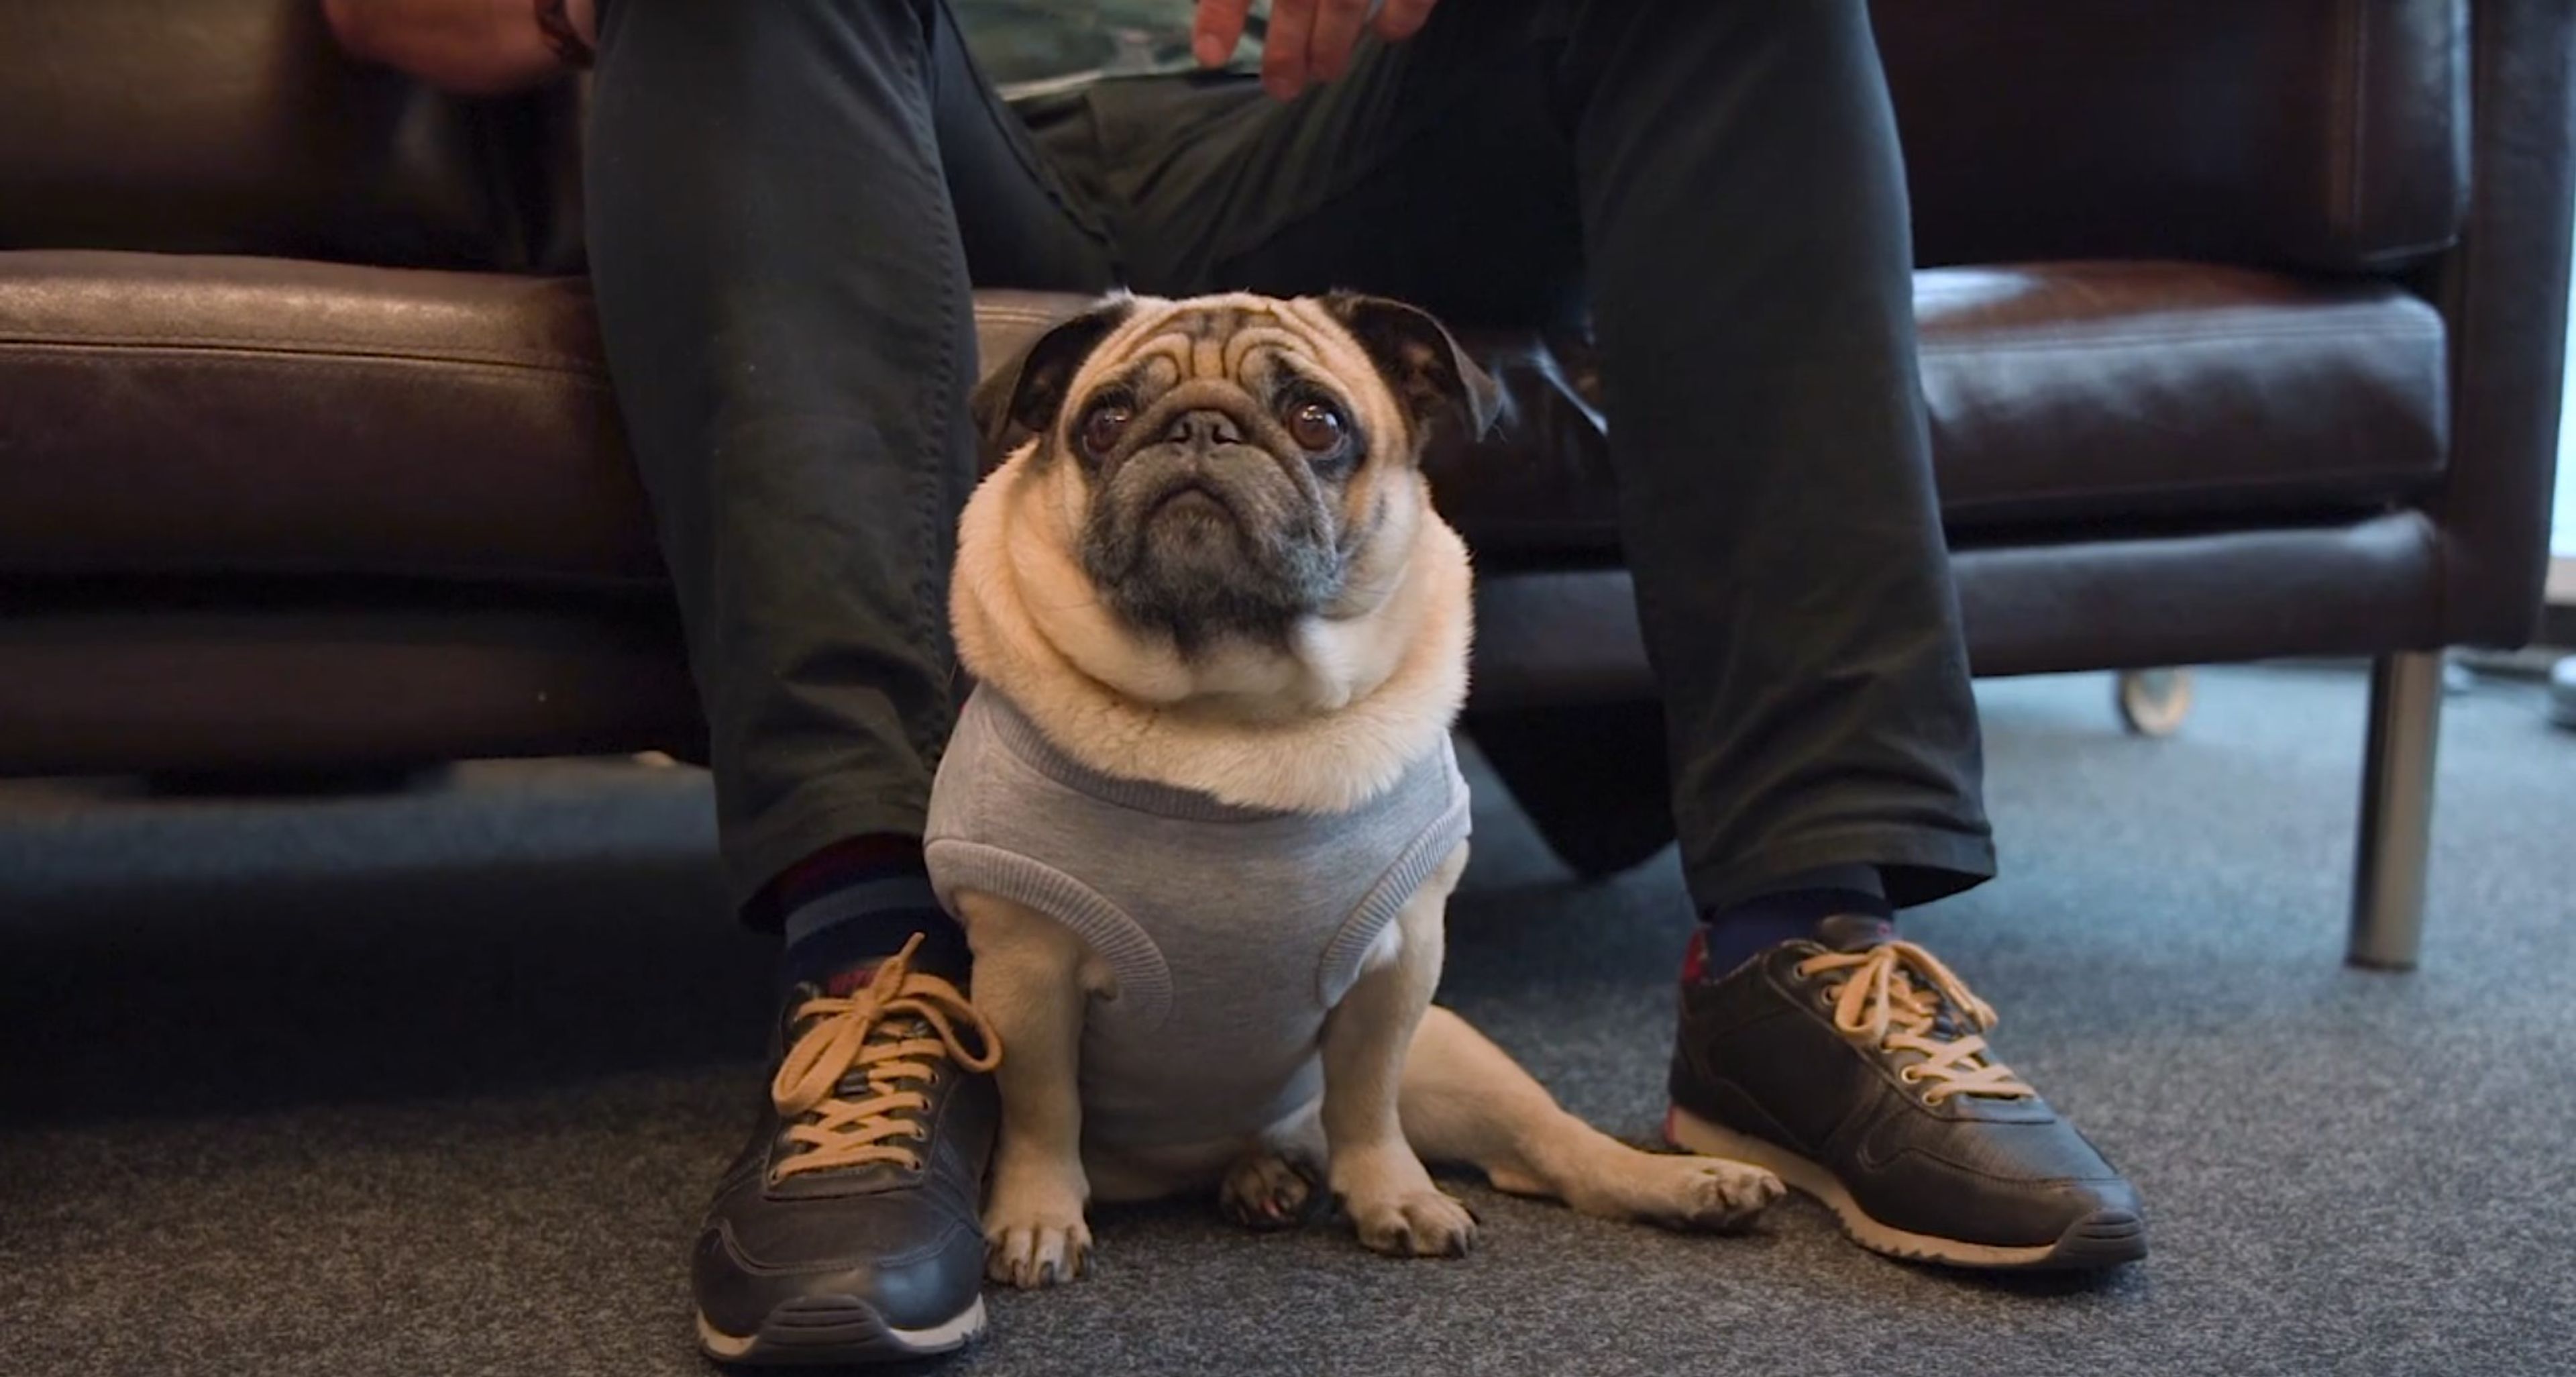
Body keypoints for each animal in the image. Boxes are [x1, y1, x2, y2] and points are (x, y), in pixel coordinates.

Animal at [932, 291, 1792, 1294]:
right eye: (1104, 423)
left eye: (1317, 421)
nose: (1199, 427)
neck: (1228, 704)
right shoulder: (1025, 975)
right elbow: (1042, 1115)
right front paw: (1036, 1216)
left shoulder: (1401, 965)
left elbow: (1369, 1104)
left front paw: (1397, 1197)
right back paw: (1258, 1178)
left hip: (1457, 1057)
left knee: (1552, 1152)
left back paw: (1690, 1185)